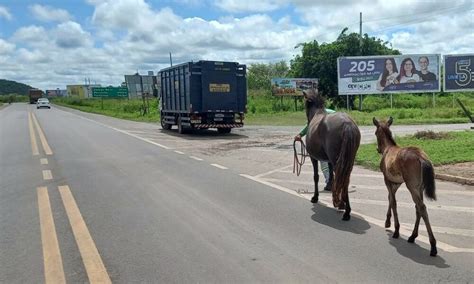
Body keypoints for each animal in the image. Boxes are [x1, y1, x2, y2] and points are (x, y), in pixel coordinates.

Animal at [304, 90, 360, 221]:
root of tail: (347, 124)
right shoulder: (328, 160)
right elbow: (331, 176)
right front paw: (329, 187)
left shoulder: (313, 158)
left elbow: (316, 177)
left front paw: (315, 197)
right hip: (348, 161)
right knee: (345, 179)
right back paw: (344, 207)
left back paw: (344, 209)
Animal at [372, 116, 438, 256]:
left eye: (375, 133)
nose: (377, 149)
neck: (388, 147)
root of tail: (422, 158)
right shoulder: (397, 182)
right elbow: (390, 199)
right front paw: (387, 222)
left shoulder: (387, 179)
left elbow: (393, 202)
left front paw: (396, 230)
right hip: (419, 187)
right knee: (418, 208)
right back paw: (413, 236)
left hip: (411, 186)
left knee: (421, 207)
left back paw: (433, 245)